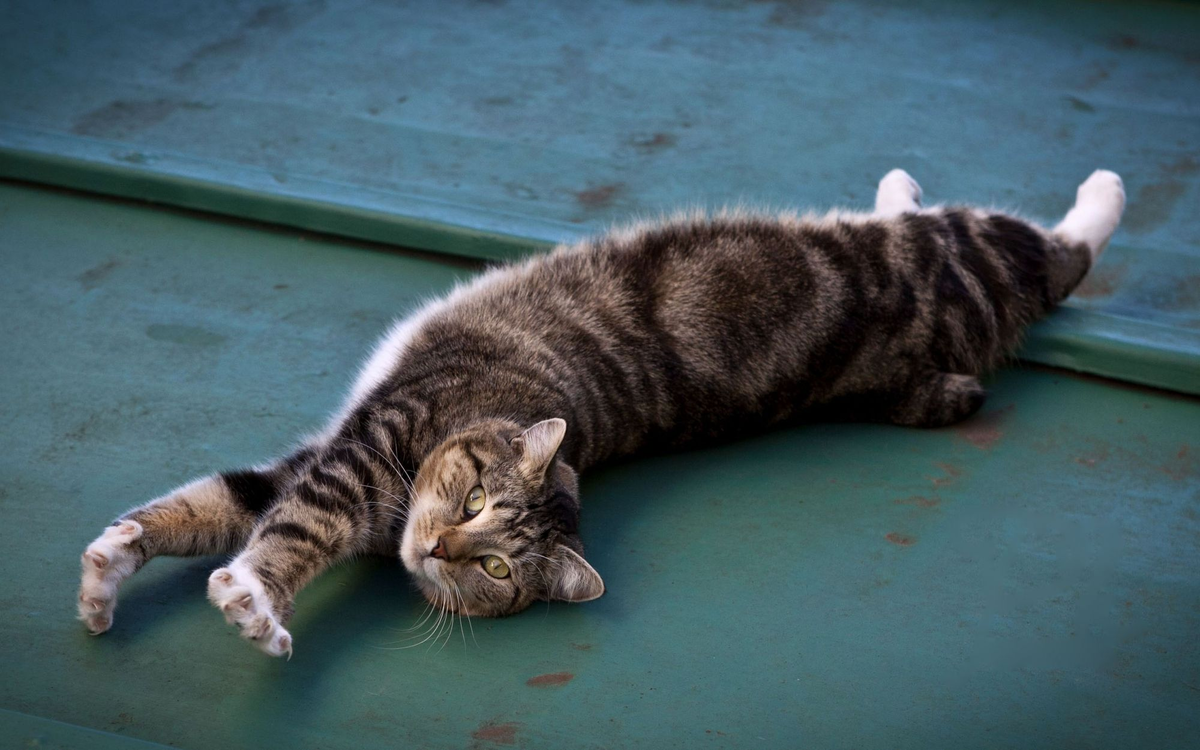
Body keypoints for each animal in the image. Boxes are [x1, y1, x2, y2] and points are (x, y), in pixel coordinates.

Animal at [75, 168, 1123, 652]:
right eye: (471, 504)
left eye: (496, 566)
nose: (439, 548)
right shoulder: (339, 456)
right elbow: (207, 506)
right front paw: (109, 569)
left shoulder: (347, 470)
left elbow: (282, 534)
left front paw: (253, 604)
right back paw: (899, 186)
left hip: (967, 260)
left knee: (1061, 255)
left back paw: (1103, 192)